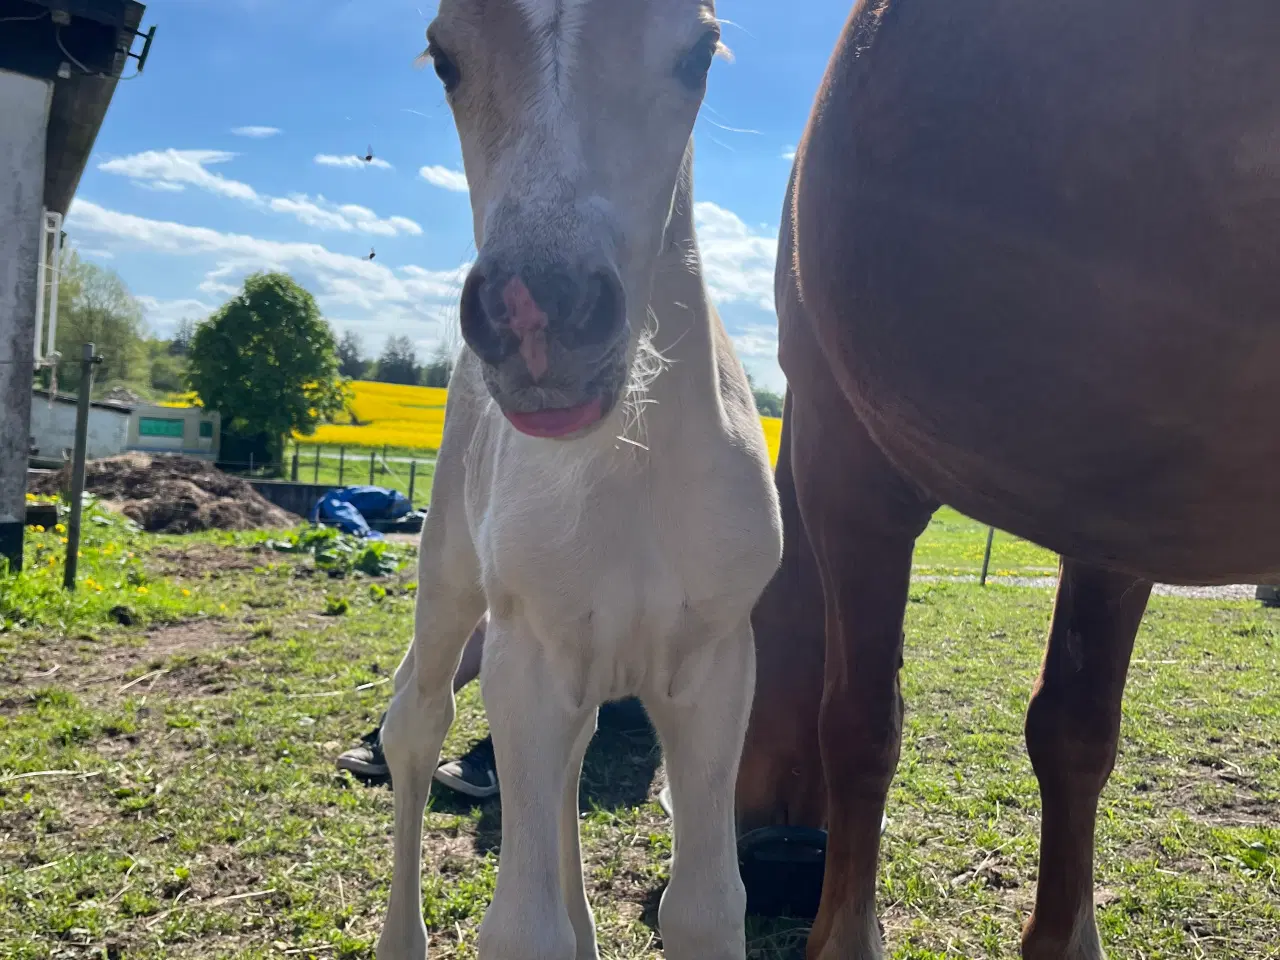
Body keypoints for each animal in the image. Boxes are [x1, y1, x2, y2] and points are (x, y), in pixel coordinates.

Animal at [373, 1, 778, 960]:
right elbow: (524, 929)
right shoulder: (526, 651)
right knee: (415, 725)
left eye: (701, 52)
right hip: (448, 574)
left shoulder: (716, 666)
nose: (537, 317)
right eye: (443, 58)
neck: (628, 465)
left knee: (568, 758)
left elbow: (705, 906)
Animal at [742, 0, 1280, 957]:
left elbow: (859, 723)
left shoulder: (850, 470)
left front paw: (843, 936)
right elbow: (1074, 733)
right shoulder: (1114, 525)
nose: (753, 830)